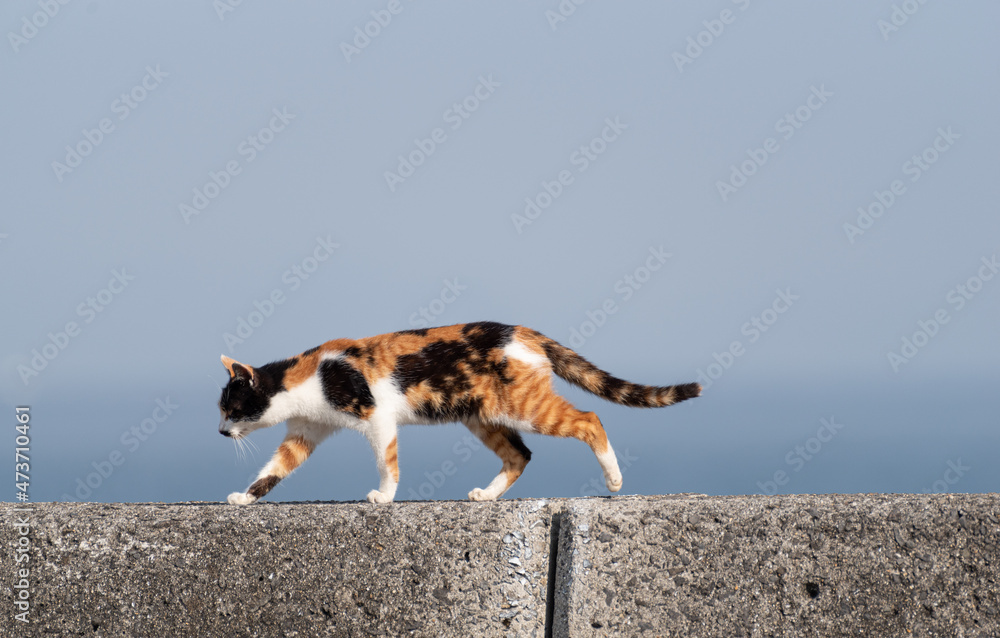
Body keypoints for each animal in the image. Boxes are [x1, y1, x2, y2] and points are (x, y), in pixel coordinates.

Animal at [217, 322, 704, 508]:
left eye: (232, 408)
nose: (221, 432)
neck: (310, 378)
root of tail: (525, 332)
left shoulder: (376, 416)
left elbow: (387, 460)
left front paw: (385, 497)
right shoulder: (305, 431)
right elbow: (276, 468)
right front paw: (245, 497)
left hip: (525, 408)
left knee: (589, 419)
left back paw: (614, 479)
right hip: (482, 416)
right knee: (520, 455)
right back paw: (487, 495)